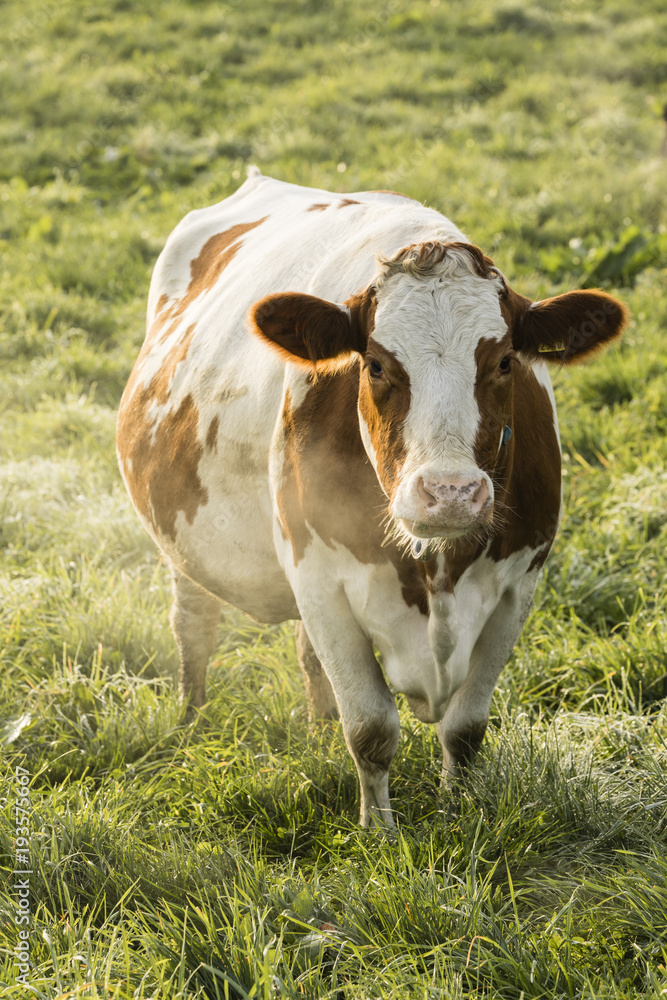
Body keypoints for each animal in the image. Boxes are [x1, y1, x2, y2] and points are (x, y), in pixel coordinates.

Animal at [116, 168, 628, 828]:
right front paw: (377, 831)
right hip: (181, 539)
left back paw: (313, 733)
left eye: (504, 362)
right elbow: (371, 729)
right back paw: (192, 725)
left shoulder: (520, 584)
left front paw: (457, 811)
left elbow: (465, 728)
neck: (438, 571)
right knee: (194, 624)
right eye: (379, 365)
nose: (450, 493)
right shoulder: (319, 579)